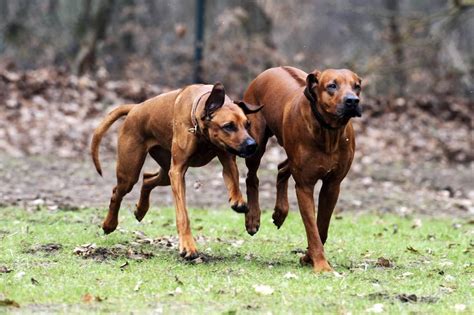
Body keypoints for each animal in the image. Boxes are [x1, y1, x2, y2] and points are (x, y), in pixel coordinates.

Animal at [243, 66, 362, 272]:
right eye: (332, 86)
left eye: (357, 86)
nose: (353, 101)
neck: (328, 131)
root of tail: (269, 70)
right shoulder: (305, 187)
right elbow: (312, 229)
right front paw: (321, 265)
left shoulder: (332, 185)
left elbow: (321, 228)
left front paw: (308, 257)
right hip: (255, 142)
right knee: (252, 177)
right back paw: (253, 217)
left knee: (282, 168)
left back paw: (280, 212)